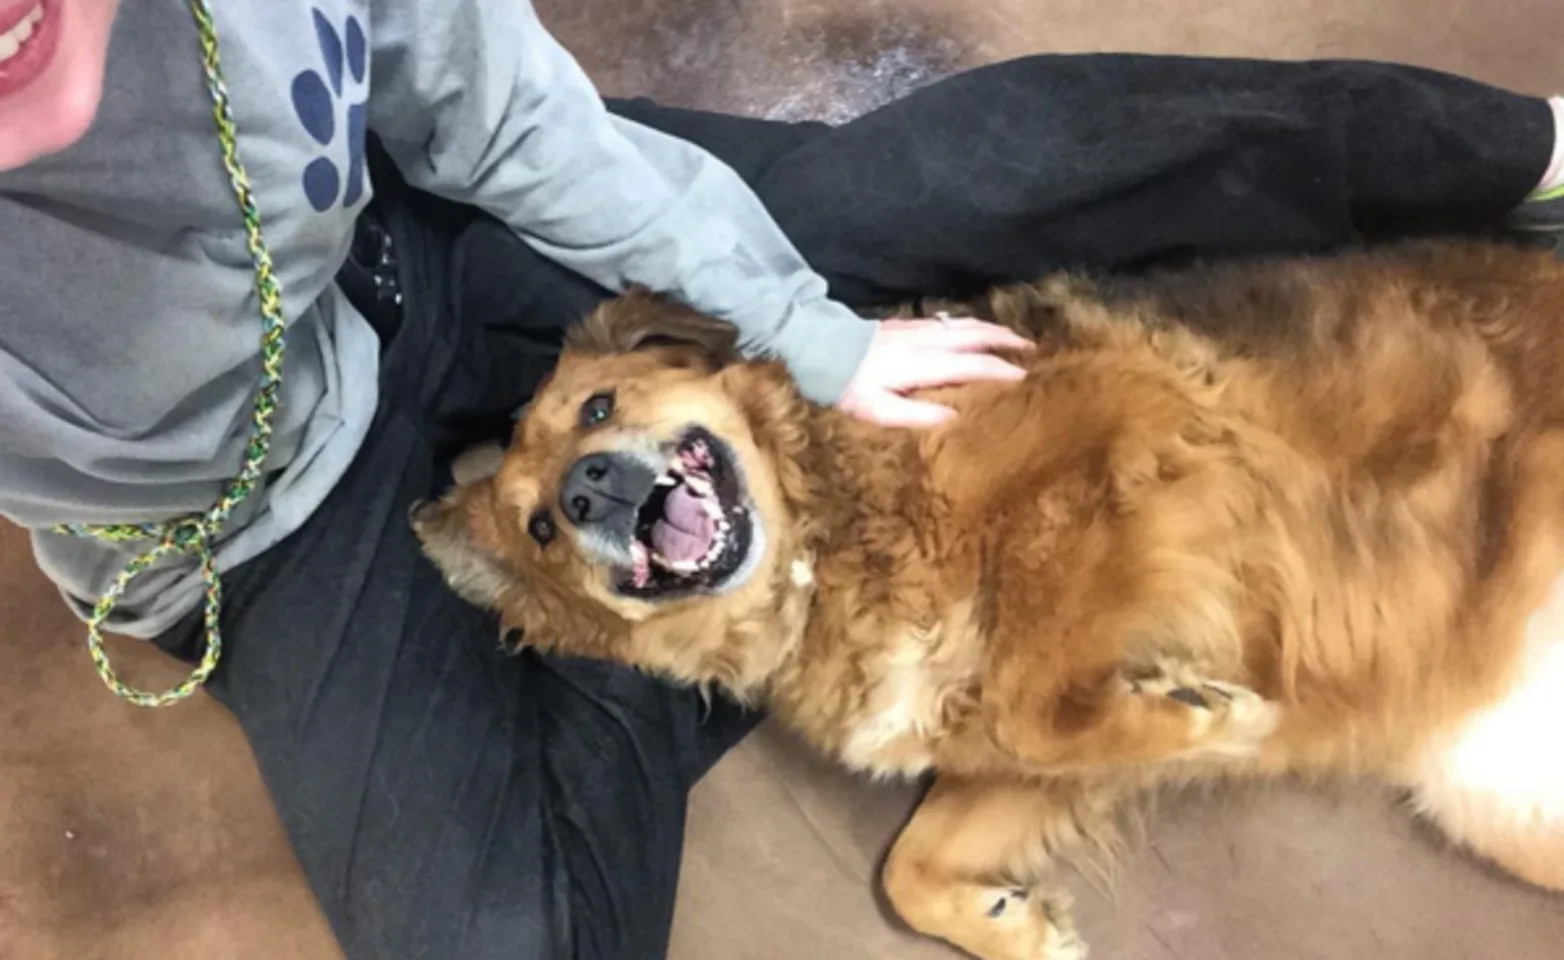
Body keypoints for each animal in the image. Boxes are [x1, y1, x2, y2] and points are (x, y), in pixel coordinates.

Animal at [409, 237, 1564, 956]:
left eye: (599, 406)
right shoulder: (1001, 757)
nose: (586, 488)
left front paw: (1210, 716)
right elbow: (911, 863)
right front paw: (1013, 922)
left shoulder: (1136, 438)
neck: (824, 536)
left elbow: (1029, 695)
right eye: (539, 531)